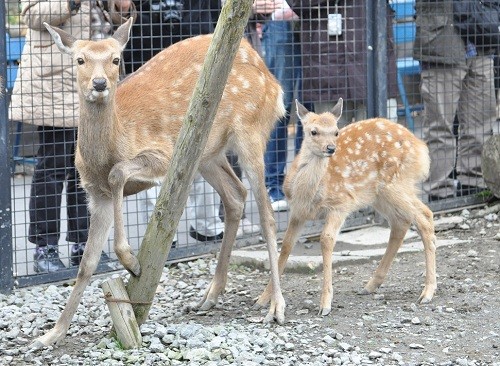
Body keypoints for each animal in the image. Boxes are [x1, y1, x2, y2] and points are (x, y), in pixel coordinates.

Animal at [34, 17, 286, 348]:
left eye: (116, 59)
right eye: (79, 59)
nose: (99, 84)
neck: (114, 144)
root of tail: (274, 82)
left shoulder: (165, 154)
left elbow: (118, 173)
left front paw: (131, 261)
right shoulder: (96, 194)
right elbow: (87, 264)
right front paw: (52, 334)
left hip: (250, 128)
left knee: (267, 213)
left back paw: (275, 305)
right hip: (207, 153)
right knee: (236, 195)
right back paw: (209, 297)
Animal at [256, 98, 436, 316]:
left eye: (335, 131)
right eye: (313, 131)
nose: (330, 148)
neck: (308, 193)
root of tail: (421, 148)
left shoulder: (341, 204)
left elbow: (326, 240)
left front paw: (325, 303)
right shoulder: (298, 212)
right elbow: (286, 245)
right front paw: (263, 299)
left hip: (396, 184)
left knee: (424, 216)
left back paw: (427, 292)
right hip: (380, 195)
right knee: (401, 222)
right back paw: (371, 285)